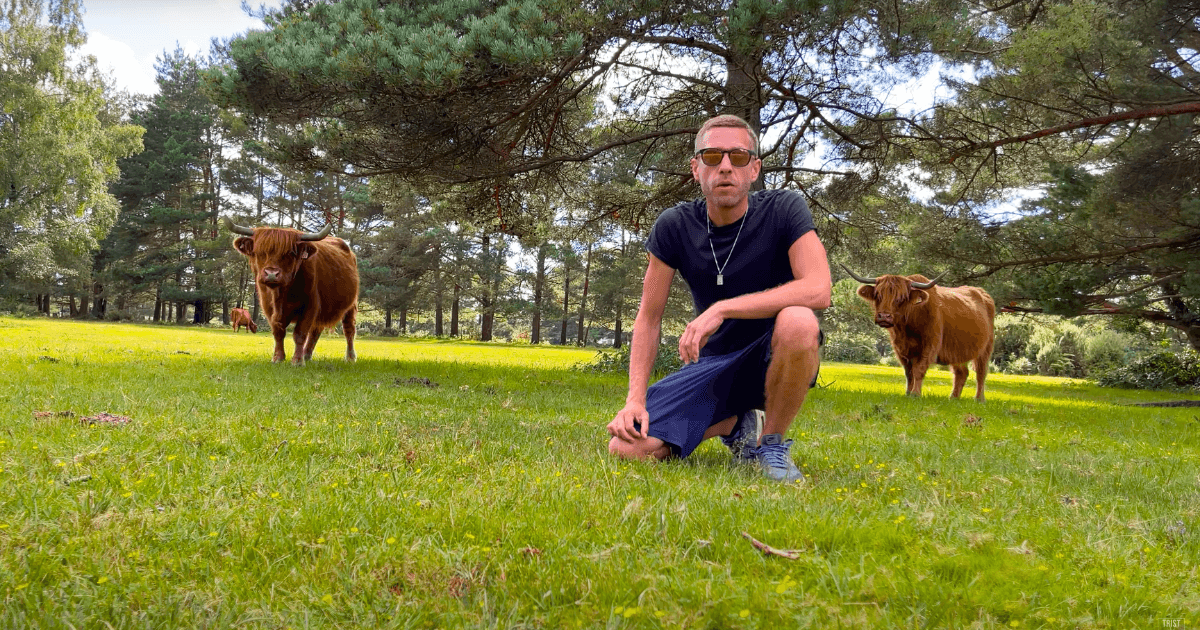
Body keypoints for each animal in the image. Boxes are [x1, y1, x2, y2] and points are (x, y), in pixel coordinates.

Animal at [224, 216, 355, 362]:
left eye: (290, 253)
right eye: (259, 252)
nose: (271, 273)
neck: (280, 294)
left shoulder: (310, 306)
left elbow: (300, 333)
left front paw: (297, 360)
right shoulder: (268, 308)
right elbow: (278, 332)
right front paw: (278, 358)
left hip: (351, 305)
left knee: (349, 329)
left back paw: (350, 357)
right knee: (316, 331)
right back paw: (307, 355)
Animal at [840, 264, 998, 400]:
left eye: (901, 298)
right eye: (878, 295)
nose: (884, 316)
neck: (907, 328)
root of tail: (982, 293)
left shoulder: (930, 345)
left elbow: (919, 370)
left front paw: (916, 394)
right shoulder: (900, 349)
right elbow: (908, 372)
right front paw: (908, 393)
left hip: (986, 348)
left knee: (981, 373)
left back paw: (979, 399)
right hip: (958, 350)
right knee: (961, 373)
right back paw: (953, 398)